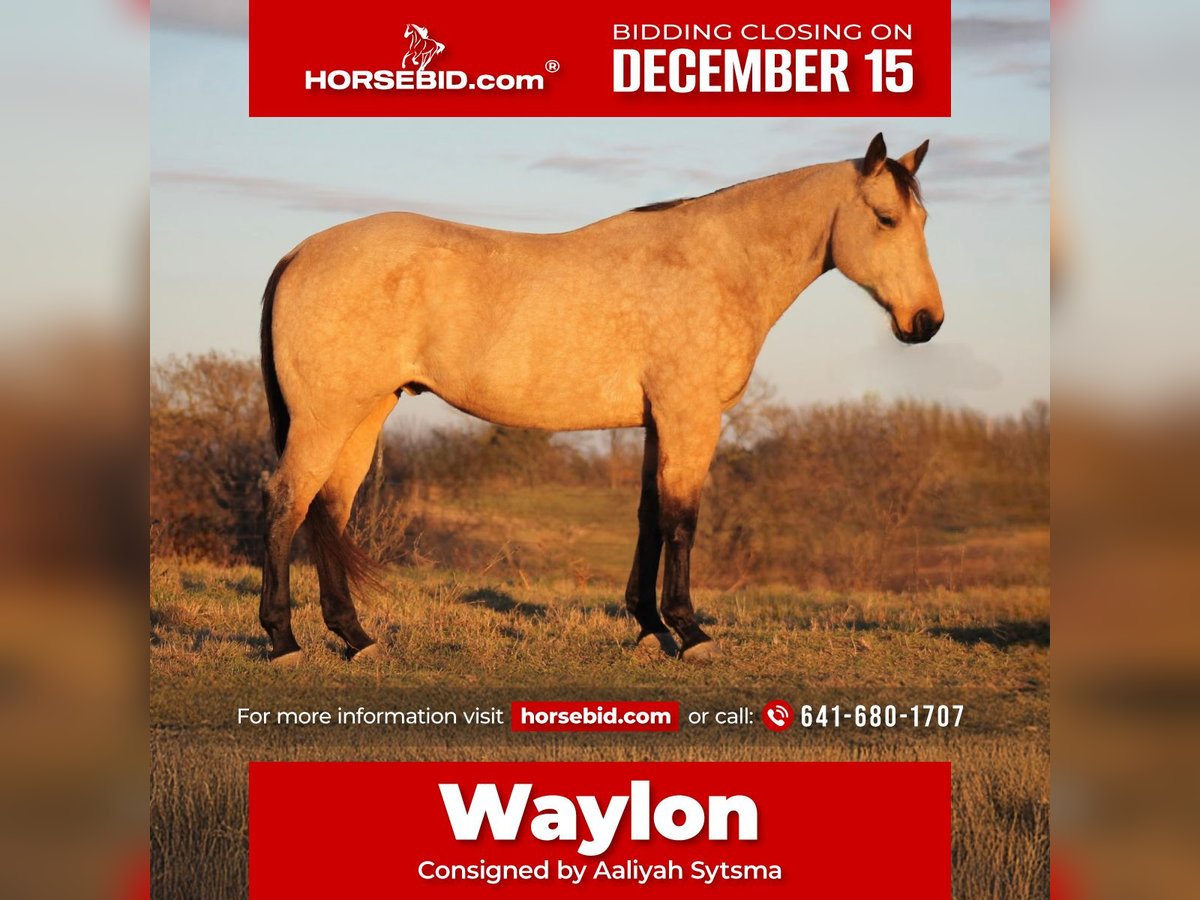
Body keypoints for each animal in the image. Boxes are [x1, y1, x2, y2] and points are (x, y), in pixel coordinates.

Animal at [258, 133, 943, 665]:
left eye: (924, 221)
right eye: (885, 218)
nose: (927, 322)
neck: (717, 264)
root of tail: (299, 252)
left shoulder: (656, 422)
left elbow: (649, 516)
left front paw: (649, 628)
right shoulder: (691, 416)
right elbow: (682, 519)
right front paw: (691, 633)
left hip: (365, 412)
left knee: (327, 509)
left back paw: (356, 638)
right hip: (326, 417)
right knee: (287, 500)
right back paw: (284, 641)